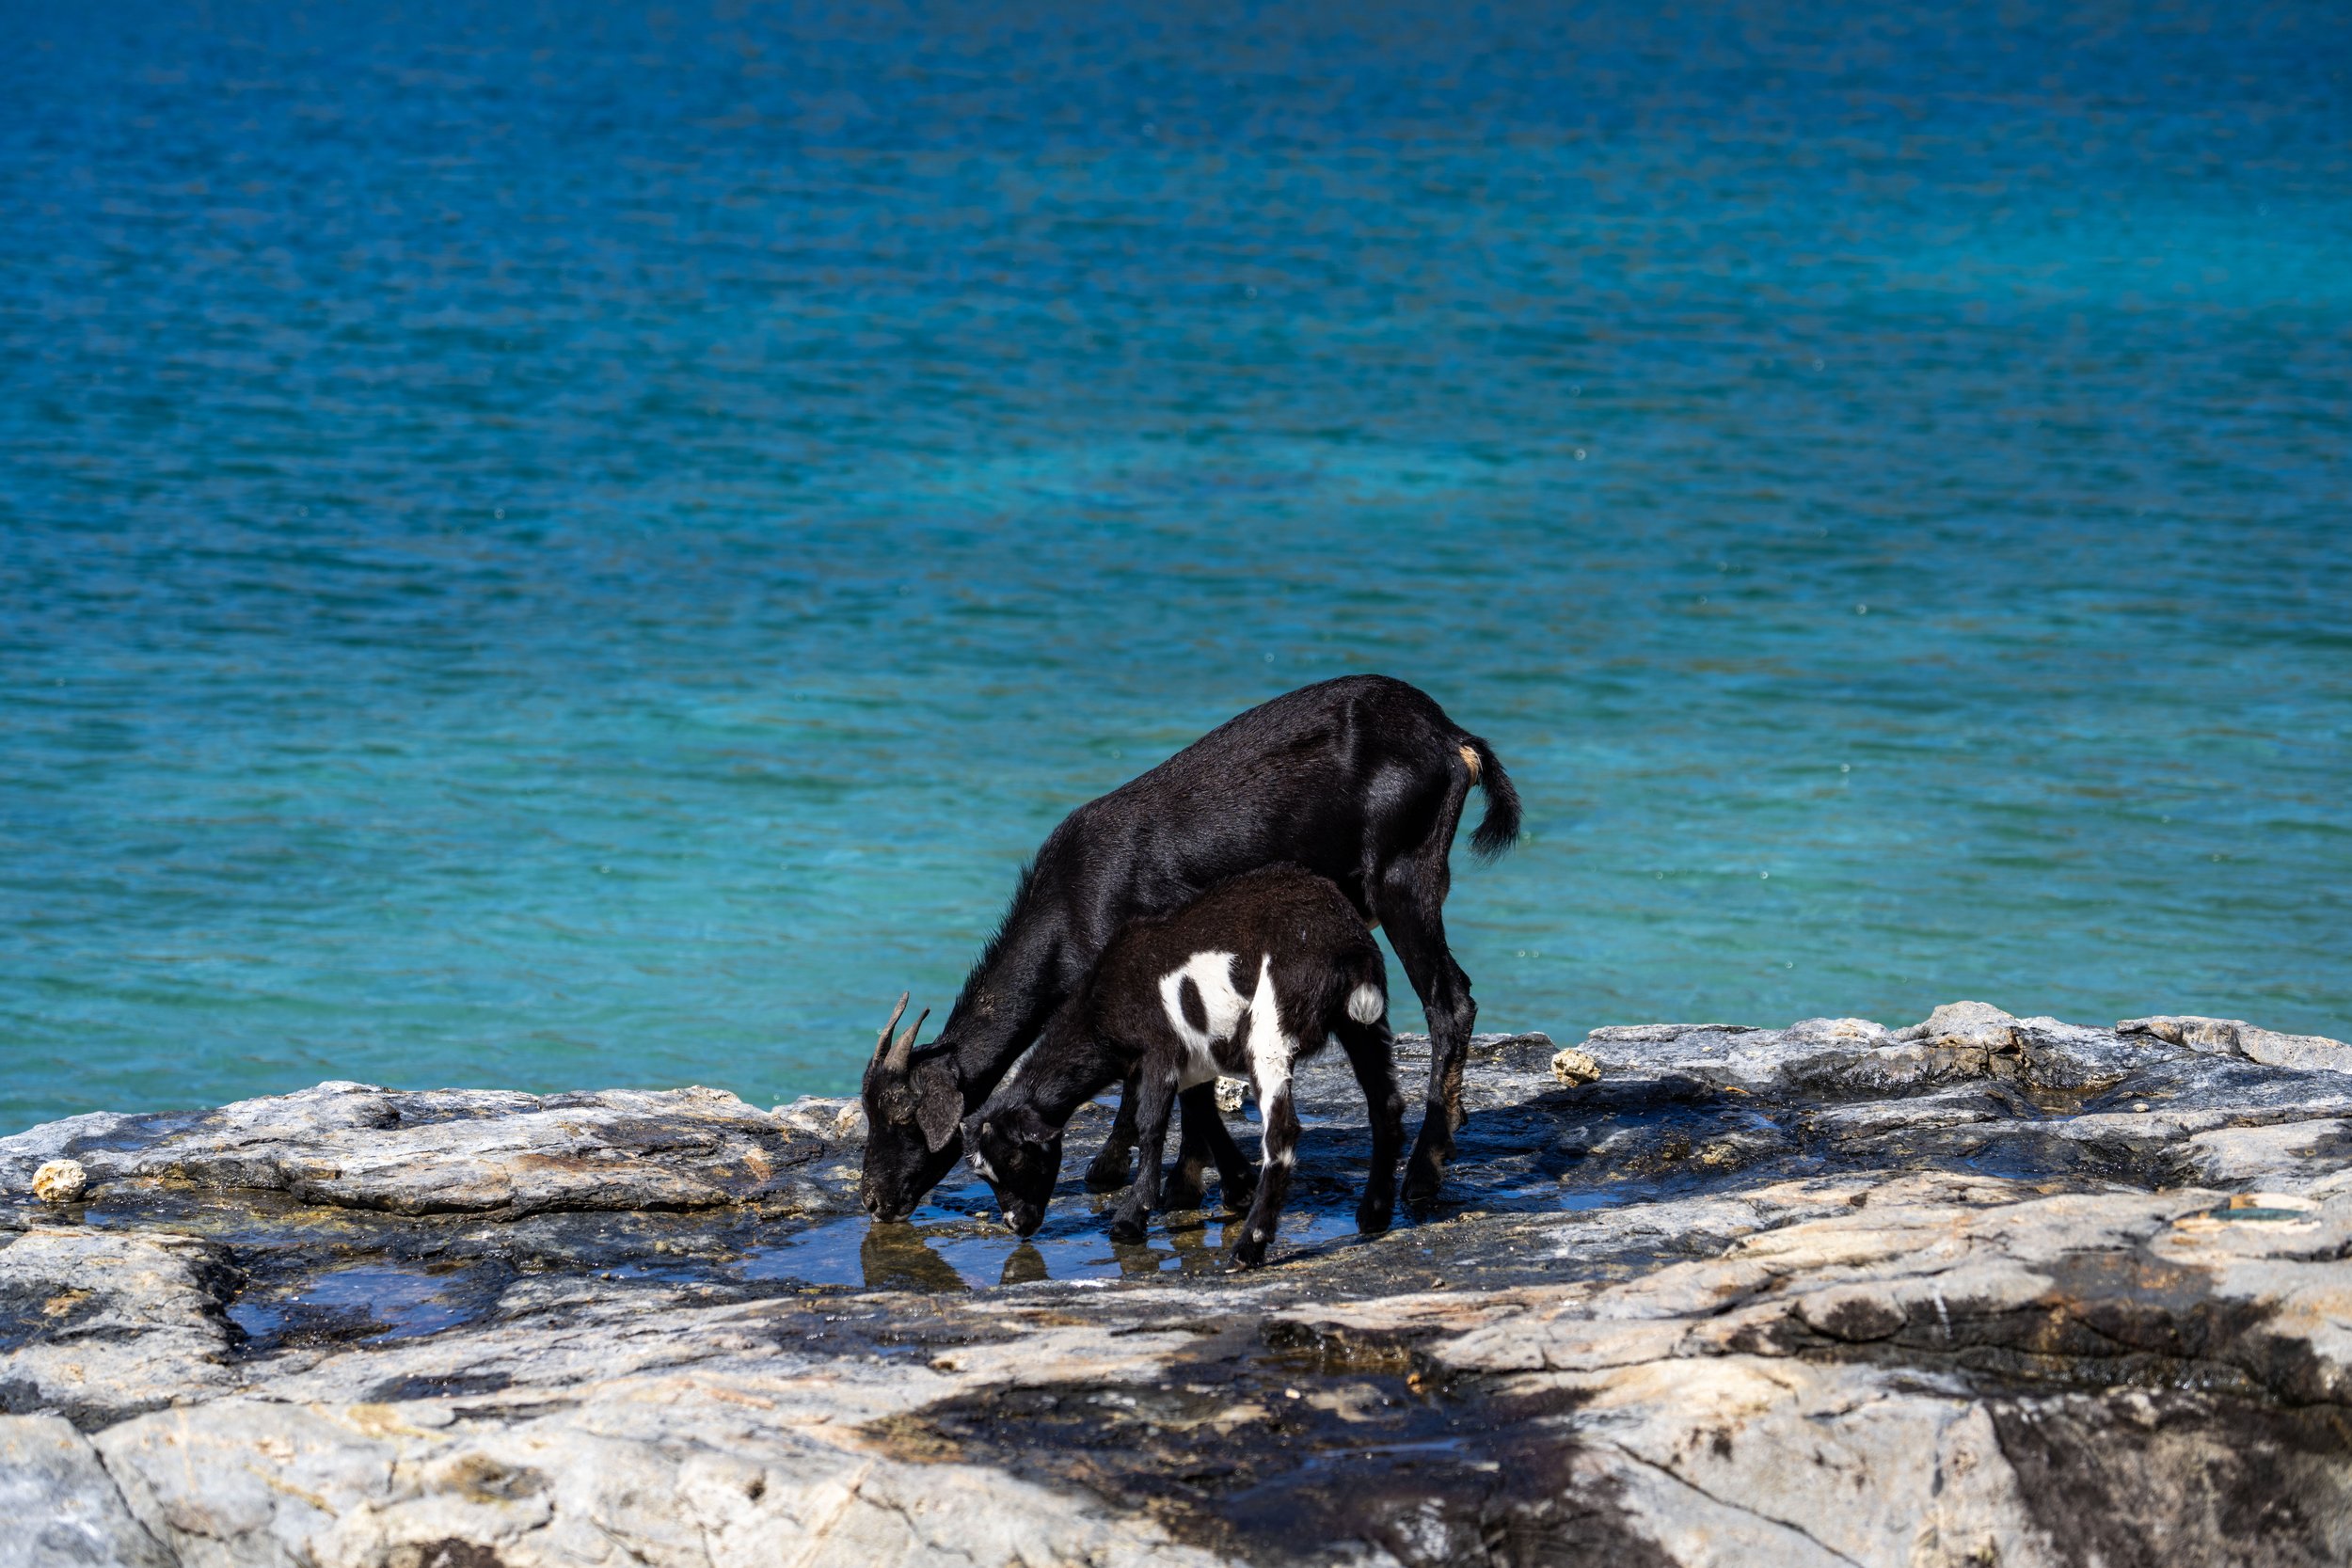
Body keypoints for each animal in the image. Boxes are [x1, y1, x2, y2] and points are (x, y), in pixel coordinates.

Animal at [859, 673, 1518, 1222]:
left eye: (901, 1114)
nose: (874, 1199)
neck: (1072, 903)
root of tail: (1452, 738)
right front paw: (1146, 1170)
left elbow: (1181, 1085)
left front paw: (1199, 1181)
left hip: (1403, 875)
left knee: (1449, 1000)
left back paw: (1424, 1173)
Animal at [964, 867, 1402, 1267]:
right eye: (984, 1174)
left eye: (1016, 1159)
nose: (1017, 1224)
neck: (1101, 1007)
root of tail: (1346, 947)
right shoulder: (1194, 1057)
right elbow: (1201, 1110)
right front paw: (1237, 1186)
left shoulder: (1161, 1050)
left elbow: (1152, 1124)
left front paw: (1131, 1218)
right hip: (1362, 1023)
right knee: (1386, 1105)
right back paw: (1374, 1213)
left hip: (1271, 1027)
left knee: (1282, 1132)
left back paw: (1249, 1247)